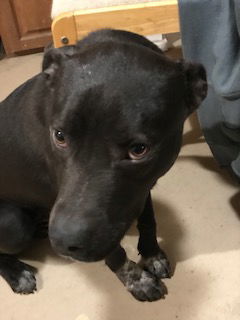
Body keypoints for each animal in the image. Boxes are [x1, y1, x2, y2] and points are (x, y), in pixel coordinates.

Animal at [0, 28, 206, 302]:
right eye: (59, 136)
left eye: (139, 149)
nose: (63, 242)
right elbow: (115, 252)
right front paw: (136, 279)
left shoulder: (141, 187)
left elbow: (148, 218)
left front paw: (151, 254)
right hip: (14, 224)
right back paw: (17, 273)